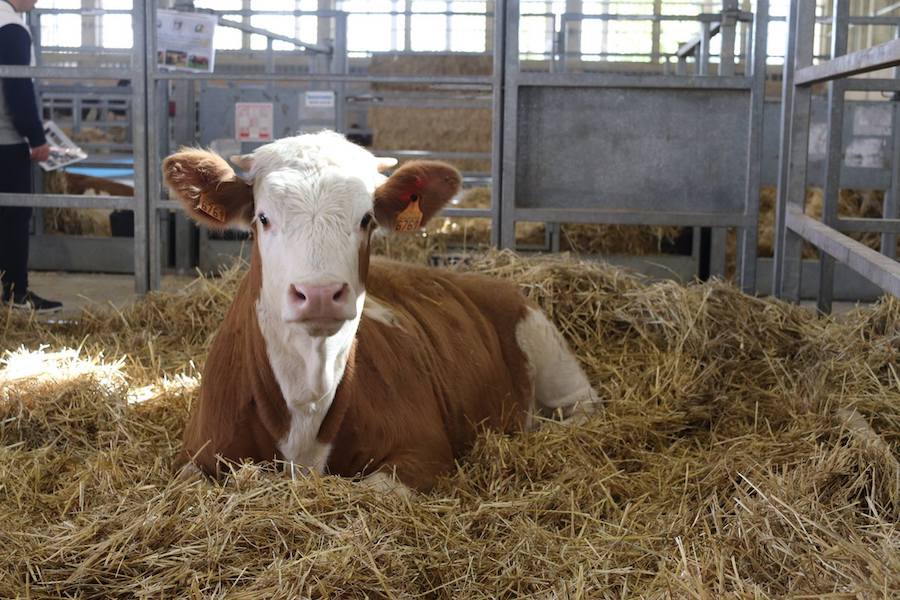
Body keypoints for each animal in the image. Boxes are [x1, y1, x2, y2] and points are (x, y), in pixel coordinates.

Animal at [164, 131, 596, 493]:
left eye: (366, 219)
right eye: (263, 218)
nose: (320, 294)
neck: (308, 393)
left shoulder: (423, 450)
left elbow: (373, 491)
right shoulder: (198, 452)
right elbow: (190, 480)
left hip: (544, 343)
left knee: (582, 407)